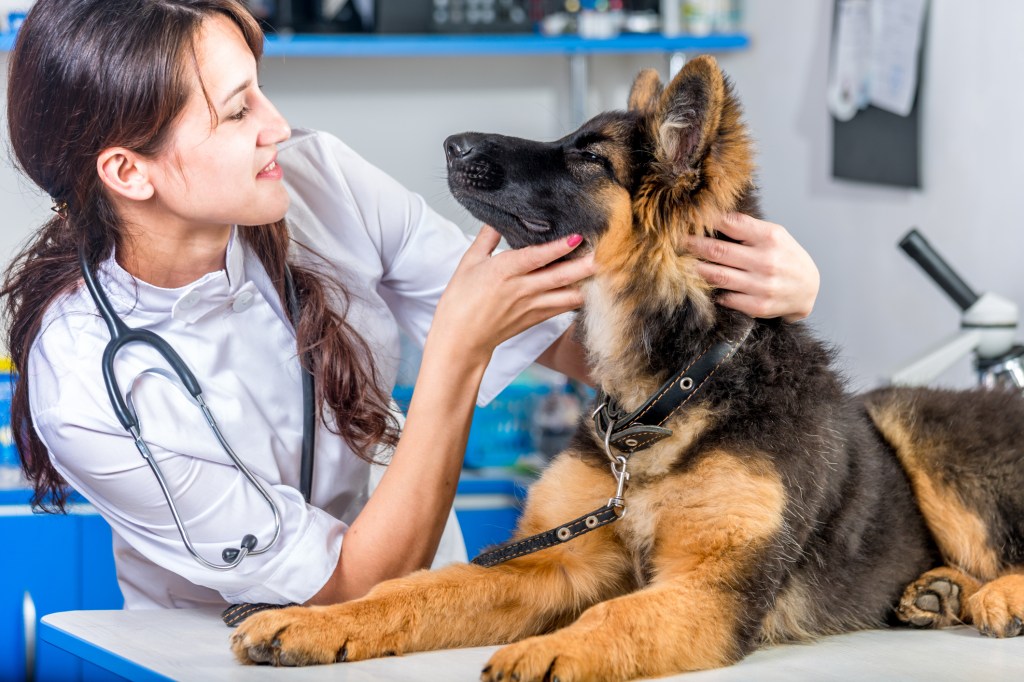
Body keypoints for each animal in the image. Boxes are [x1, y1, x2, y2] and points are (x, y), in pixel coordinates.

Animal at [232, 57, 1024, 675]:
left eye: (589, 158)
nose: (454, 142)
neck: (671, 393)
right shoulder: (553, 563)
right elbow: (416, 590)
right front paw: (316, 621)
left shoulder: (712, 587)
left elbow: (614, 617)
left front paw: (545, 653)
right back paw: (940, 591)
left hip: (913, 421)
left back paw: (994, 595)